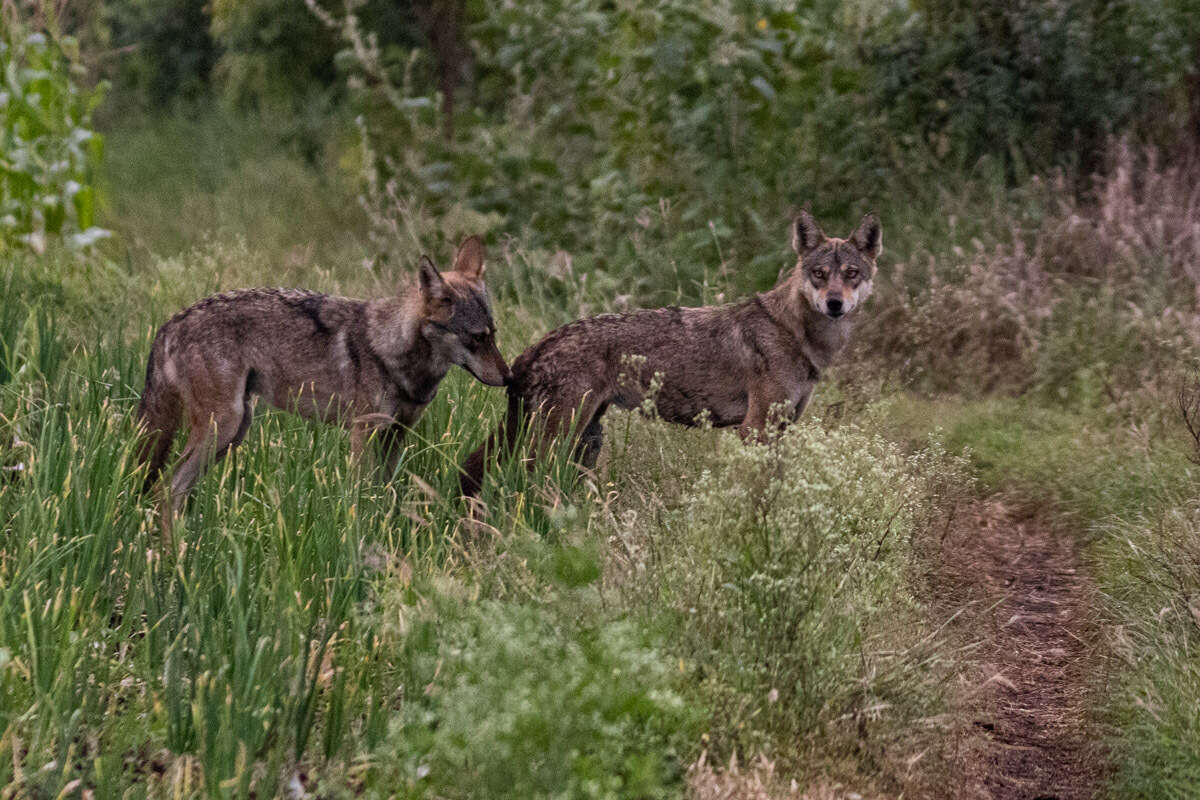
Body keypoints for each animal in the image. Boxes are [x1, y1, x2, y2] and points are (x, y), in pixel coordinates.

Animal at [138, 235, 508, 515]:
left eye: (493, 334)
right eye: (476, 338)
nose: (508, 378)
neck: (393, 351)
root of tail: (170, 323)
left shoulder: (396, 434)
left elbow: (386, 493)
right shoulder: (363, 433)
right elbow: (363, 495)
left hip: (235, 431)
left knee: (172, 490)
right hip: (224, 426)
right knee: (166, 489)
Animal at [458, 211, 883, 501]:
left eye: (851, 274)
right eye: (819, 273)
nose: (834, 304)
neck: (798, 334)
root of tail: (535, 346)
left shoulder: (784, 426)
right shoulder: (755, 428)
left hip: (586, 440)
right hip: (555, 440)